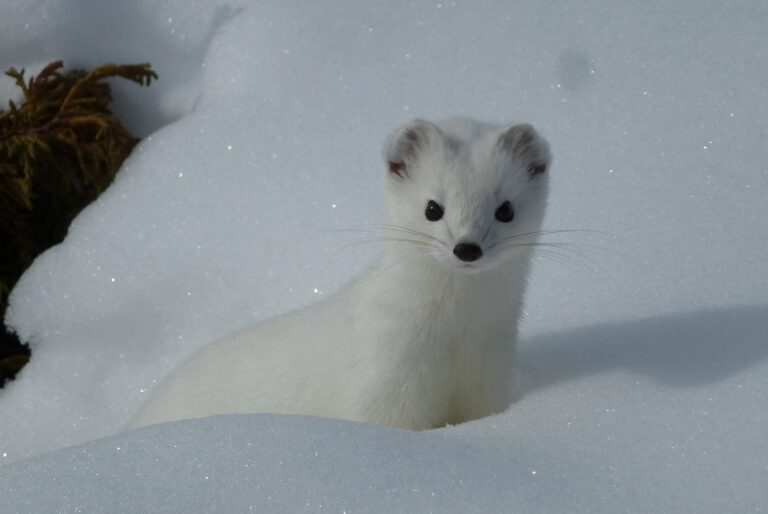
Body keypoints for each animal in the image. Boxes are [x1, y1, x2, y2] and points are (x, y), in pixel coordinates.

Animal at [132, 116, 552, 428]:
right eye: (433, 208)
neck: (455, 339)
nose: (466, 247)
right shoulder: (384, 383)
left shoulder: (488, 379)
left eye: (506, 209)